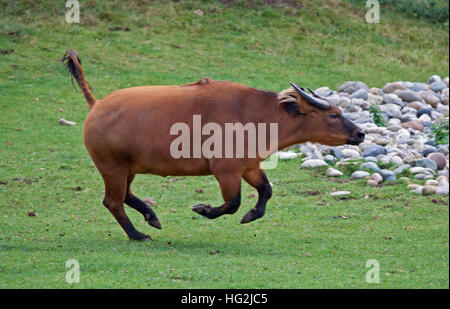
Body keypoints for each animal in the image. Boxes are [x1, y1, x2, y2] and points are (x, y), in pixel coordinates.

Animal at [62, 49, 366, 241]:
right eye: (333, 115)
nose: (361, 133)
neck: (257, 114)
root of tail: (97, 104)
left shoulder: (249, 167)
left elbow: (266, 191)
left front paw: (251, 215)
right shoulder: (226, 171)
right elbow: (232, 203)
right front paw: (204, 210)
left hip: (127, 169)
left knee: (124, 196)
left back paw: (151, 217)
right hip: (112, 167)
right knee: (113, 201)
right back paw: (138, 234)